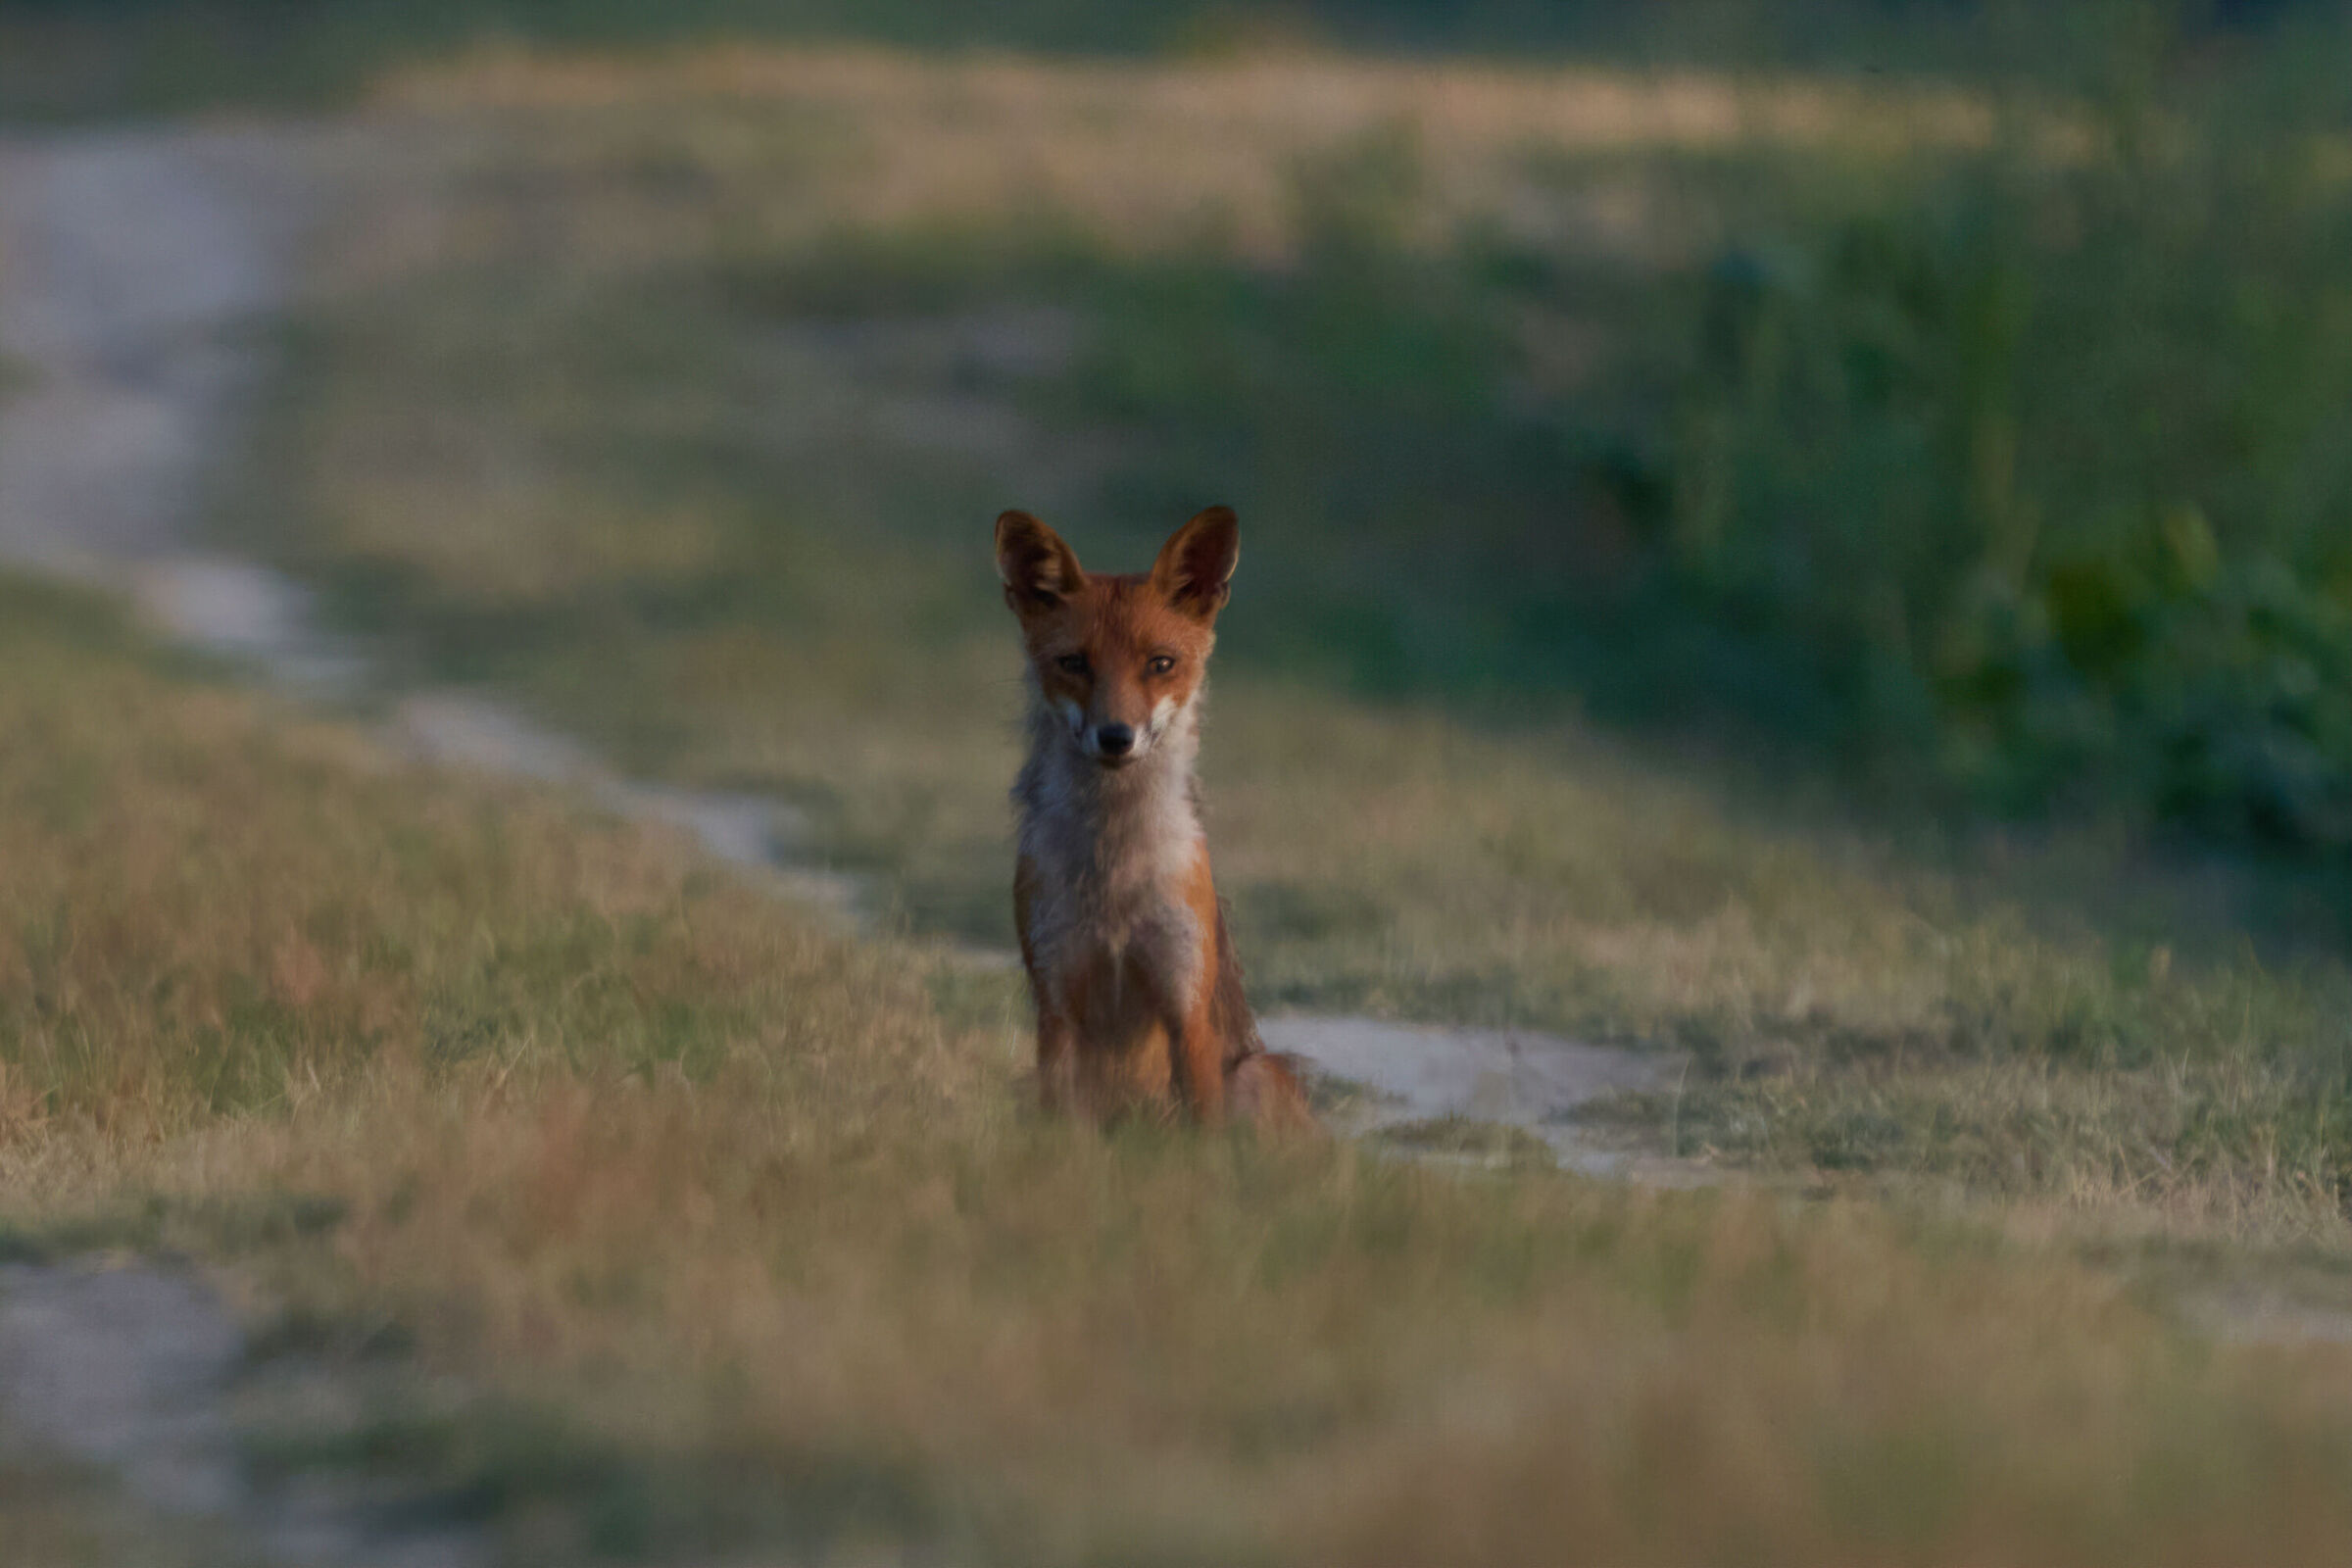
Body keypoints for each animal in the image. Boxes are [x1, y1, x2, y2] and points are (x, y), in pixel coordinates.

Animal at [996, 505, 1316, 1134]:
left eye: (1160, 664)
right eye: (1074, 664)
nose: (1116, 737)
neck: (1114, 873)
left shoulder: (1184, 1006)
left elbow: (1201, 1142)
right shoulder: (1057, 1004)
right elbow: (1064, 1136)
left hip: (1253, 1076)